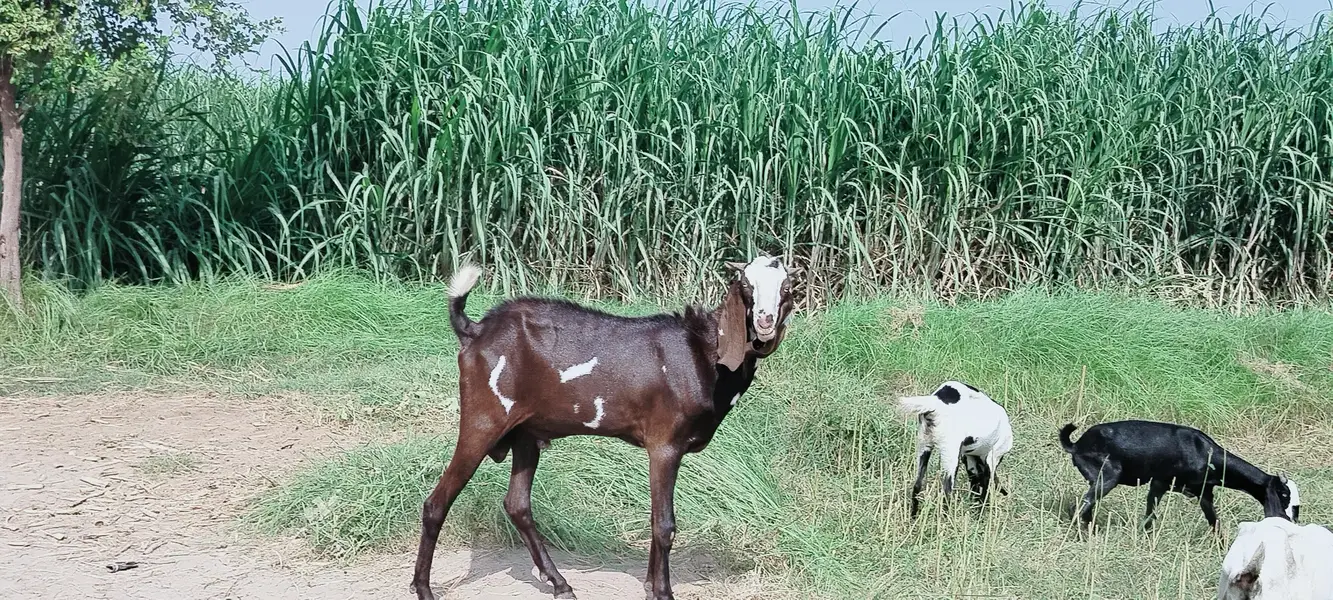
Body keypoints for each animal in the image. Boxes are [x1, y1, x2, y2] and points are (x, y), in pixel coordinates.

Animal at [411, 255, 800, 600]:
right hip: (483, 419)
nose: (765, 321)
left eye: (787, 288)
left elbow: (655, 517)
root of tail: (475, 331)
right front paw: (662, 592)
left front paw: (649, 585)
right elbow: (664, 524)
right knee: (436, 503)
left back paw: (560, 584)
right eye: (746, 285)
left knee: (517, 504)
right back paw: (424, 589)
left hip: (526, 434)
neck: (703, 353)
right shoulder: (664, 445)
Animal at [898, 381, 1014, 519]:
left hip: (924, 447)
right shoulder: (992, 459)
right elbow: (985, 489)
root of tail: (936, 402)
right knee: (947, 491)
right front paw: (980, 515)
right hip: (951, 456)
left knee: (917, 485)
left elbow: (975, 484)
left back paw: (913, 517)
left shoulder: (970, 461)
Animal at [1058, 420, 1299, 532]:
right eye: (1284, 495)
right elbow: (1150, 514)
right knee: (1082, 504)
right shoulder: (1160, 482)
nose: (1291, 520)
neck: (1207, 454)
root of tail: (1076, 445)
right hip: (1107, 475)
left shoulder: (1204, 493)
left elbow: (1214, 522)